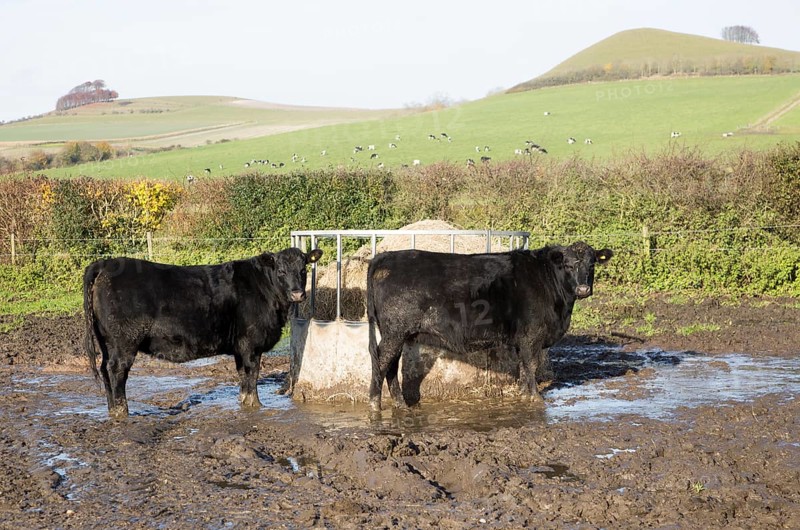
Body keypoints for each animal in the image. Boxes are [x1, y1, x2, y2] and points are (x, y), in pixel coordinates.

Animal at [83, 247, 323, 418]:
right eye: (281, 271)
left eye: (303, 270)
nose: (297, 293)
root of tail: (106, 262)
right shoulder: (251, 344)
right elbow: (252, 375)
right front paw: (255, 405)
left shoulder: (240, 347)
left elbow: (243, 377)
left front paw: (244, 403)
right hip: (124, 342)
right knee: (116, 371)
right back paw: (121, 412)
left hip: (106, 342)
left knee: (104, 369)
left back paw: (112, 408)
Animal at [366, 242, 612, 412]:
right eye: (568, 265)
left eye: (592, 264)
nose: (583, 289)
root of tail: (387, 256)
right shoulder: (532, 334)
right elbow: (531, 364)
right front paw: (535, 398)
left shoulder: (522, 339)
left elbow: (522, 366)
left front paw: (523, 394)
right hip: (395, 332)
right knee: (382, 361)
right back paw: (375, 404)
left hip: (398, 334)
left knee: (391, 364)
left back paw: (400, 404)